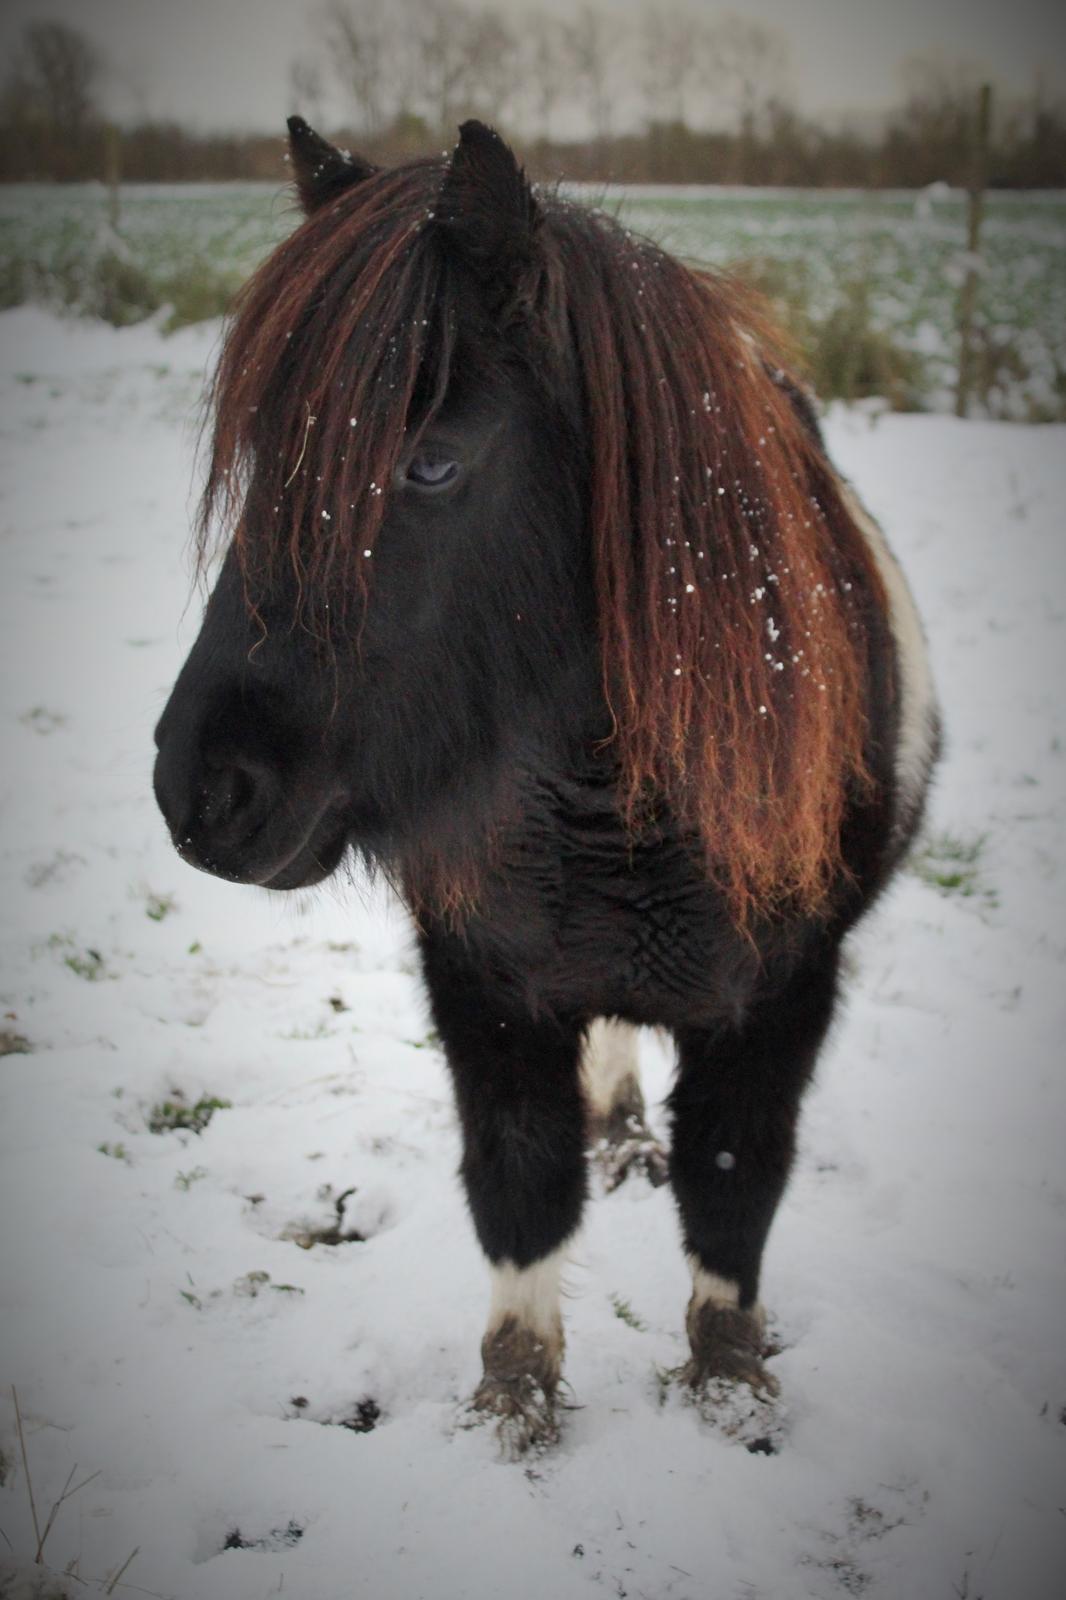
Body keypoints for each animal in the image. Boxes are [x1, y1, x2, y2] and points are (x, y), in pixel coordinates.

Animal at [153, 118, 934, 1459]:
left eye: (430, 463)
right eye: (262, 462)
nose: (201, 791)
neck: (610, 800)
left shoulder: (787, 989)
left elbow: (734, 1180)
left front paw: (727, 1378)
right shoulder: (484, 976)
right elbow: (520, 1179)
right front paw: (514, 1398)